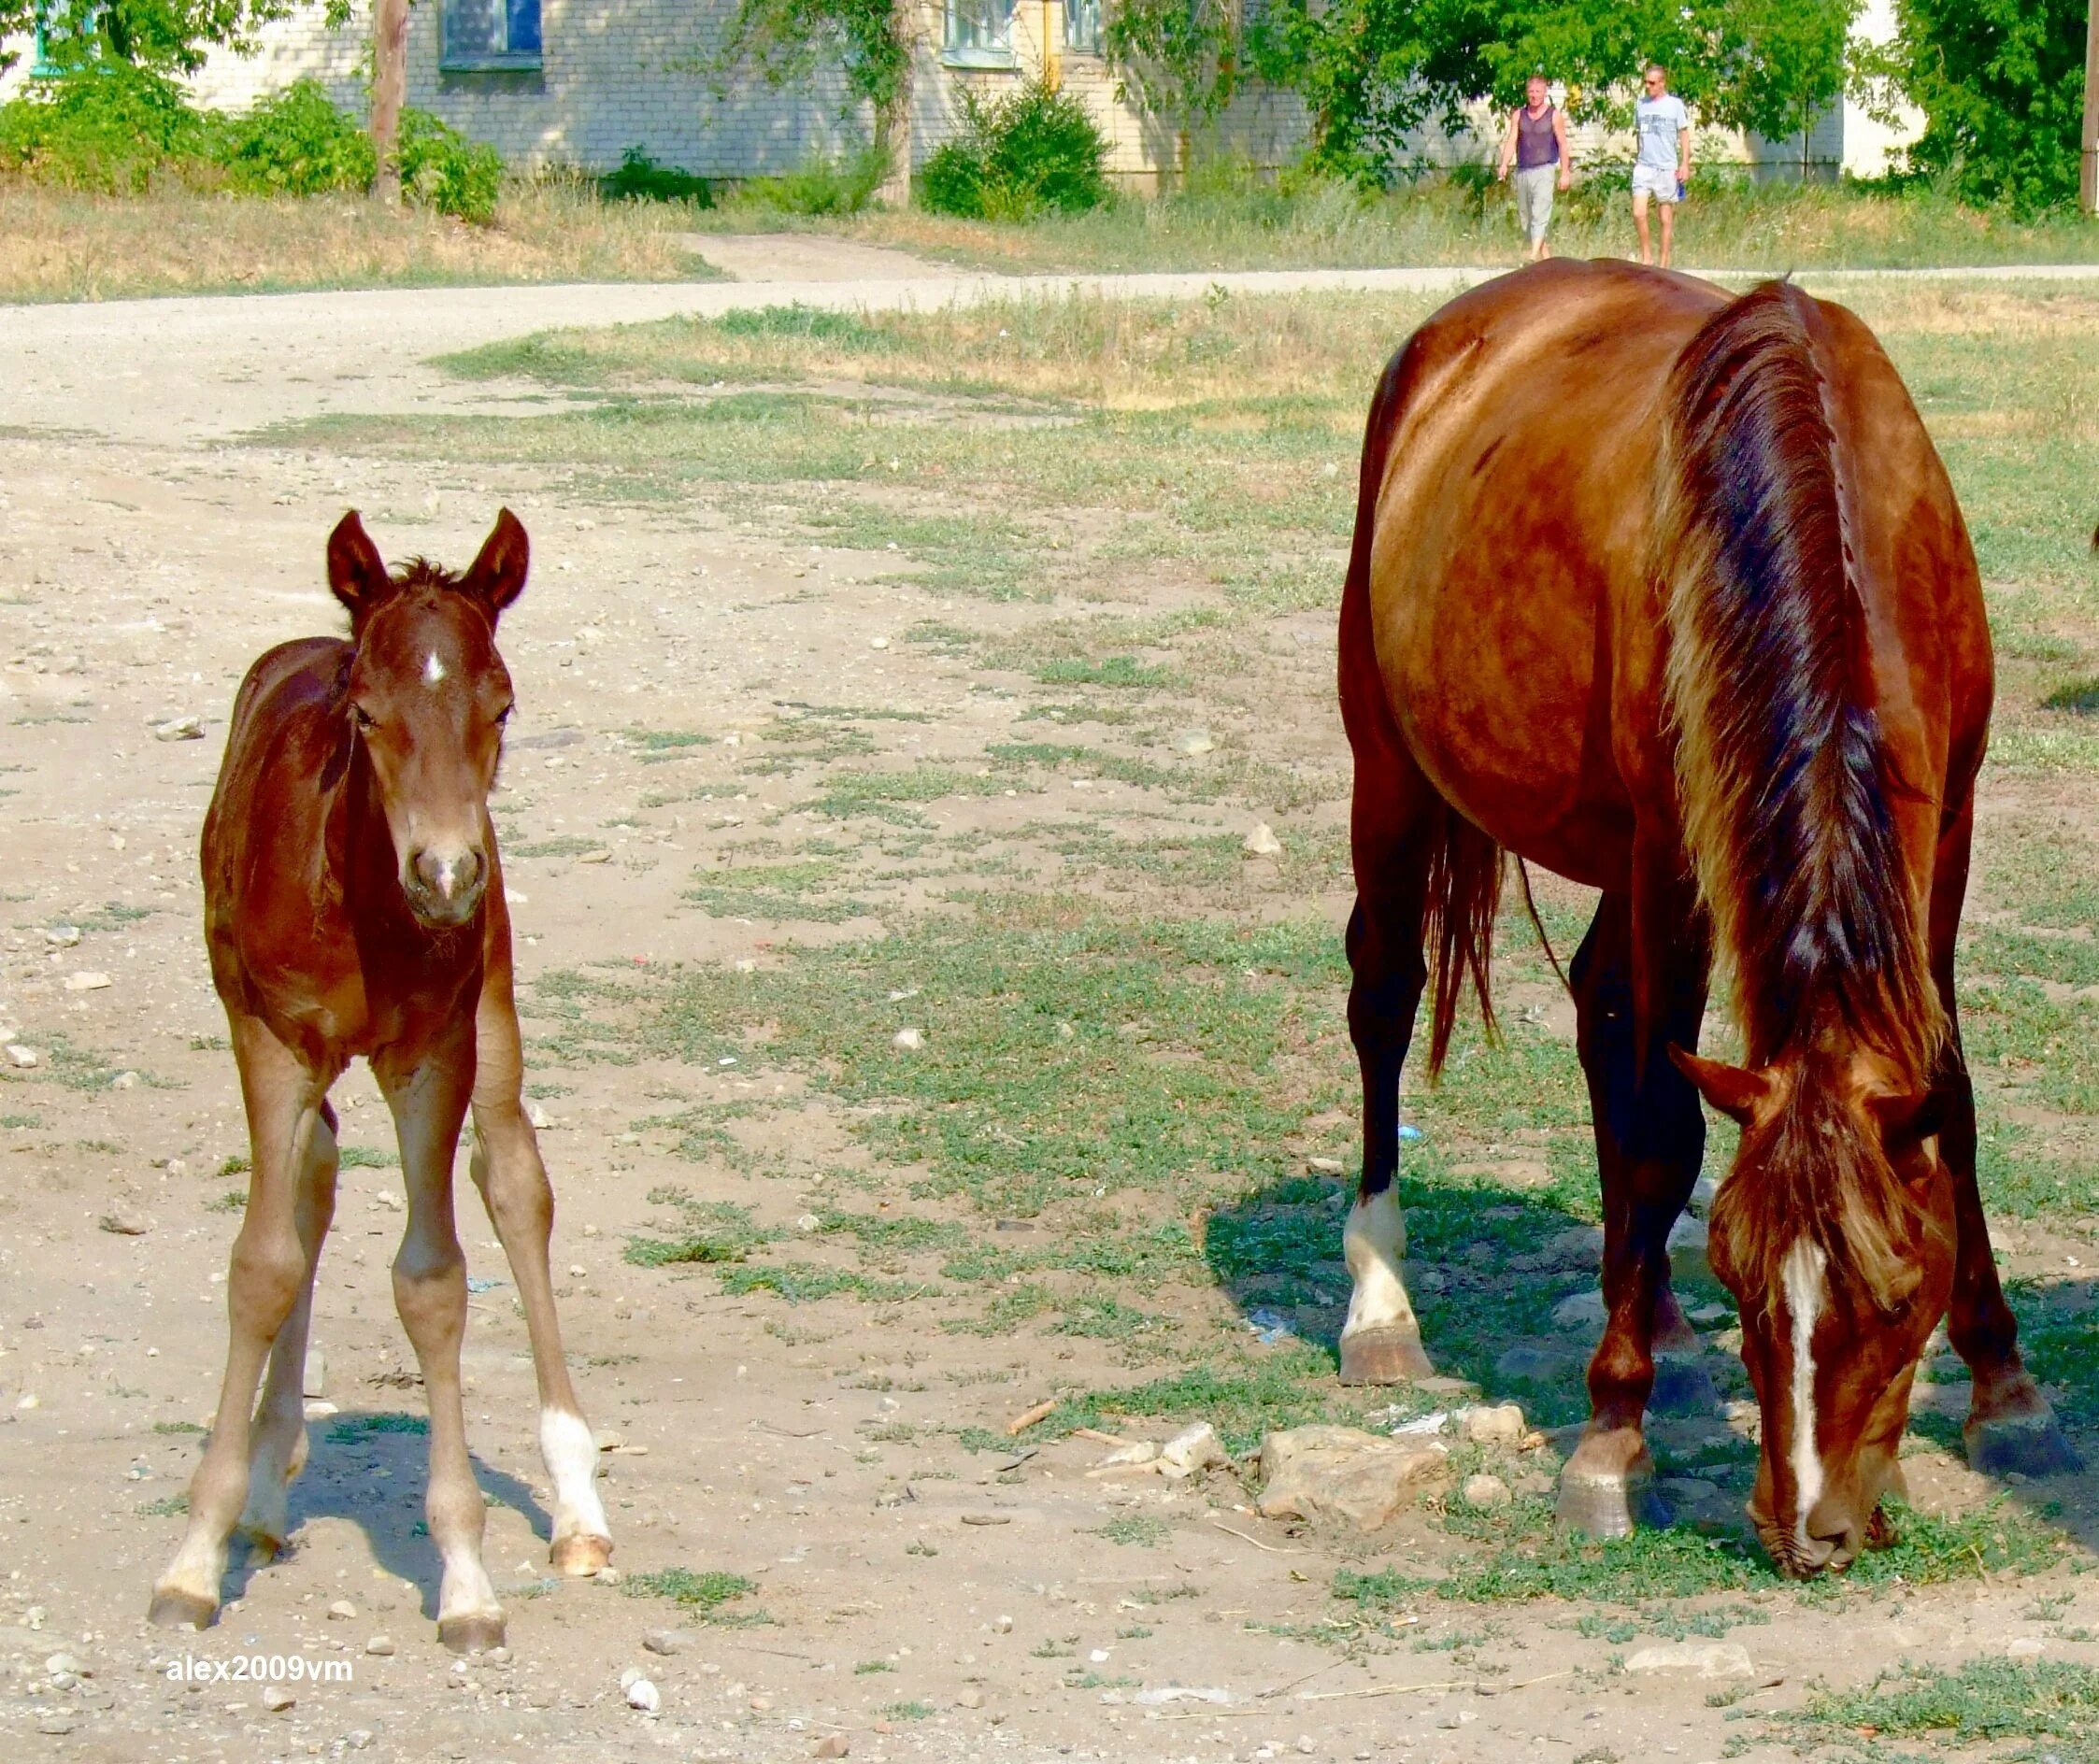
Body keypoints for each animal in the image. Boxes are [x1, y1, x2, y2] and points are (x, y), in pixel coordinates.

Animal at [150, 509, 612, 1653]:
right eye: (365, 712)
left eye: (502, 706)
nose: (444, 876)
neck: (352, 886)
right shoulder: (268, 1040)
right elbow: (263, 1263)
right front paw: (195, 1555)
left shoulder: (432, 1051)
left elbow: (434, 1281)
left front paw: (466, 1577)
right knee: (313, 1179)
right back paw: (270, 1481)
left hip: (493, 1009)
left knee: (515, 1181)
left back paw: (577, 1506)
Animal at [1335, 258, 2074, 1569]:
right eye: (1742, 1274)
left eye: (1899, 1291)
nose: (1808, 1529)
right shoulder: (1672, 849)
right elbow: (1656, 1135)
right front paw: (1607, 1440)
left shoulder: (1948, 825)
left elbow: (1949, 1099)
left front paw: (2005, 1390)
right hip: (1390, 761)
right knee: (1385, 991)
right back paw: (1380, 1300)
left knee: (1598, 1009)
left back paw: (1658, 1326)